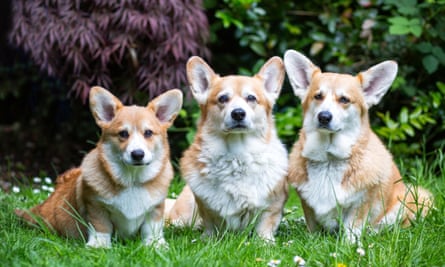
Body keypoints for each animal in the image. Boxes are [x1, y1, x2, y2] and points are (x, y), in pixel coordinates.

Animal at [16, 86, 182, 249]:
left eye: (148, 133)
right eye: (123, 133)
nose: (137, 154)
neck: (132, 180)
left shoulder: (155, 209)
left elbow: (151, 228)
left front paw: (155, 244)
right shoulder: (96, 207)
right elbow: (101, 227)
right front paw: (99, 245)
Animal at [166, 56, 288, 243]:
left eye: (251, 98)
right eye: (223, 98)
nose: (238, 113)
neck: (237, 155)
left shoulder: (271, 207)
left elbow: (264, 226)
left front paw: (265, 242)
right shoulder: (206, 208)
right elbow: (211, 225)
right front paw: (208, 241)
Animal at [282, 49, 432, 243]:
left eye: (344, 99)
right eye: (318, 96)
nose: (324, 117)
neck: (329, 159)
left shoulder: (360, 203)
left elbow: (351, 229)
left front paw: (350, 245)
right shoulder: (307, 205)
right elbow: (312, 227)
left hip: (410, 200)